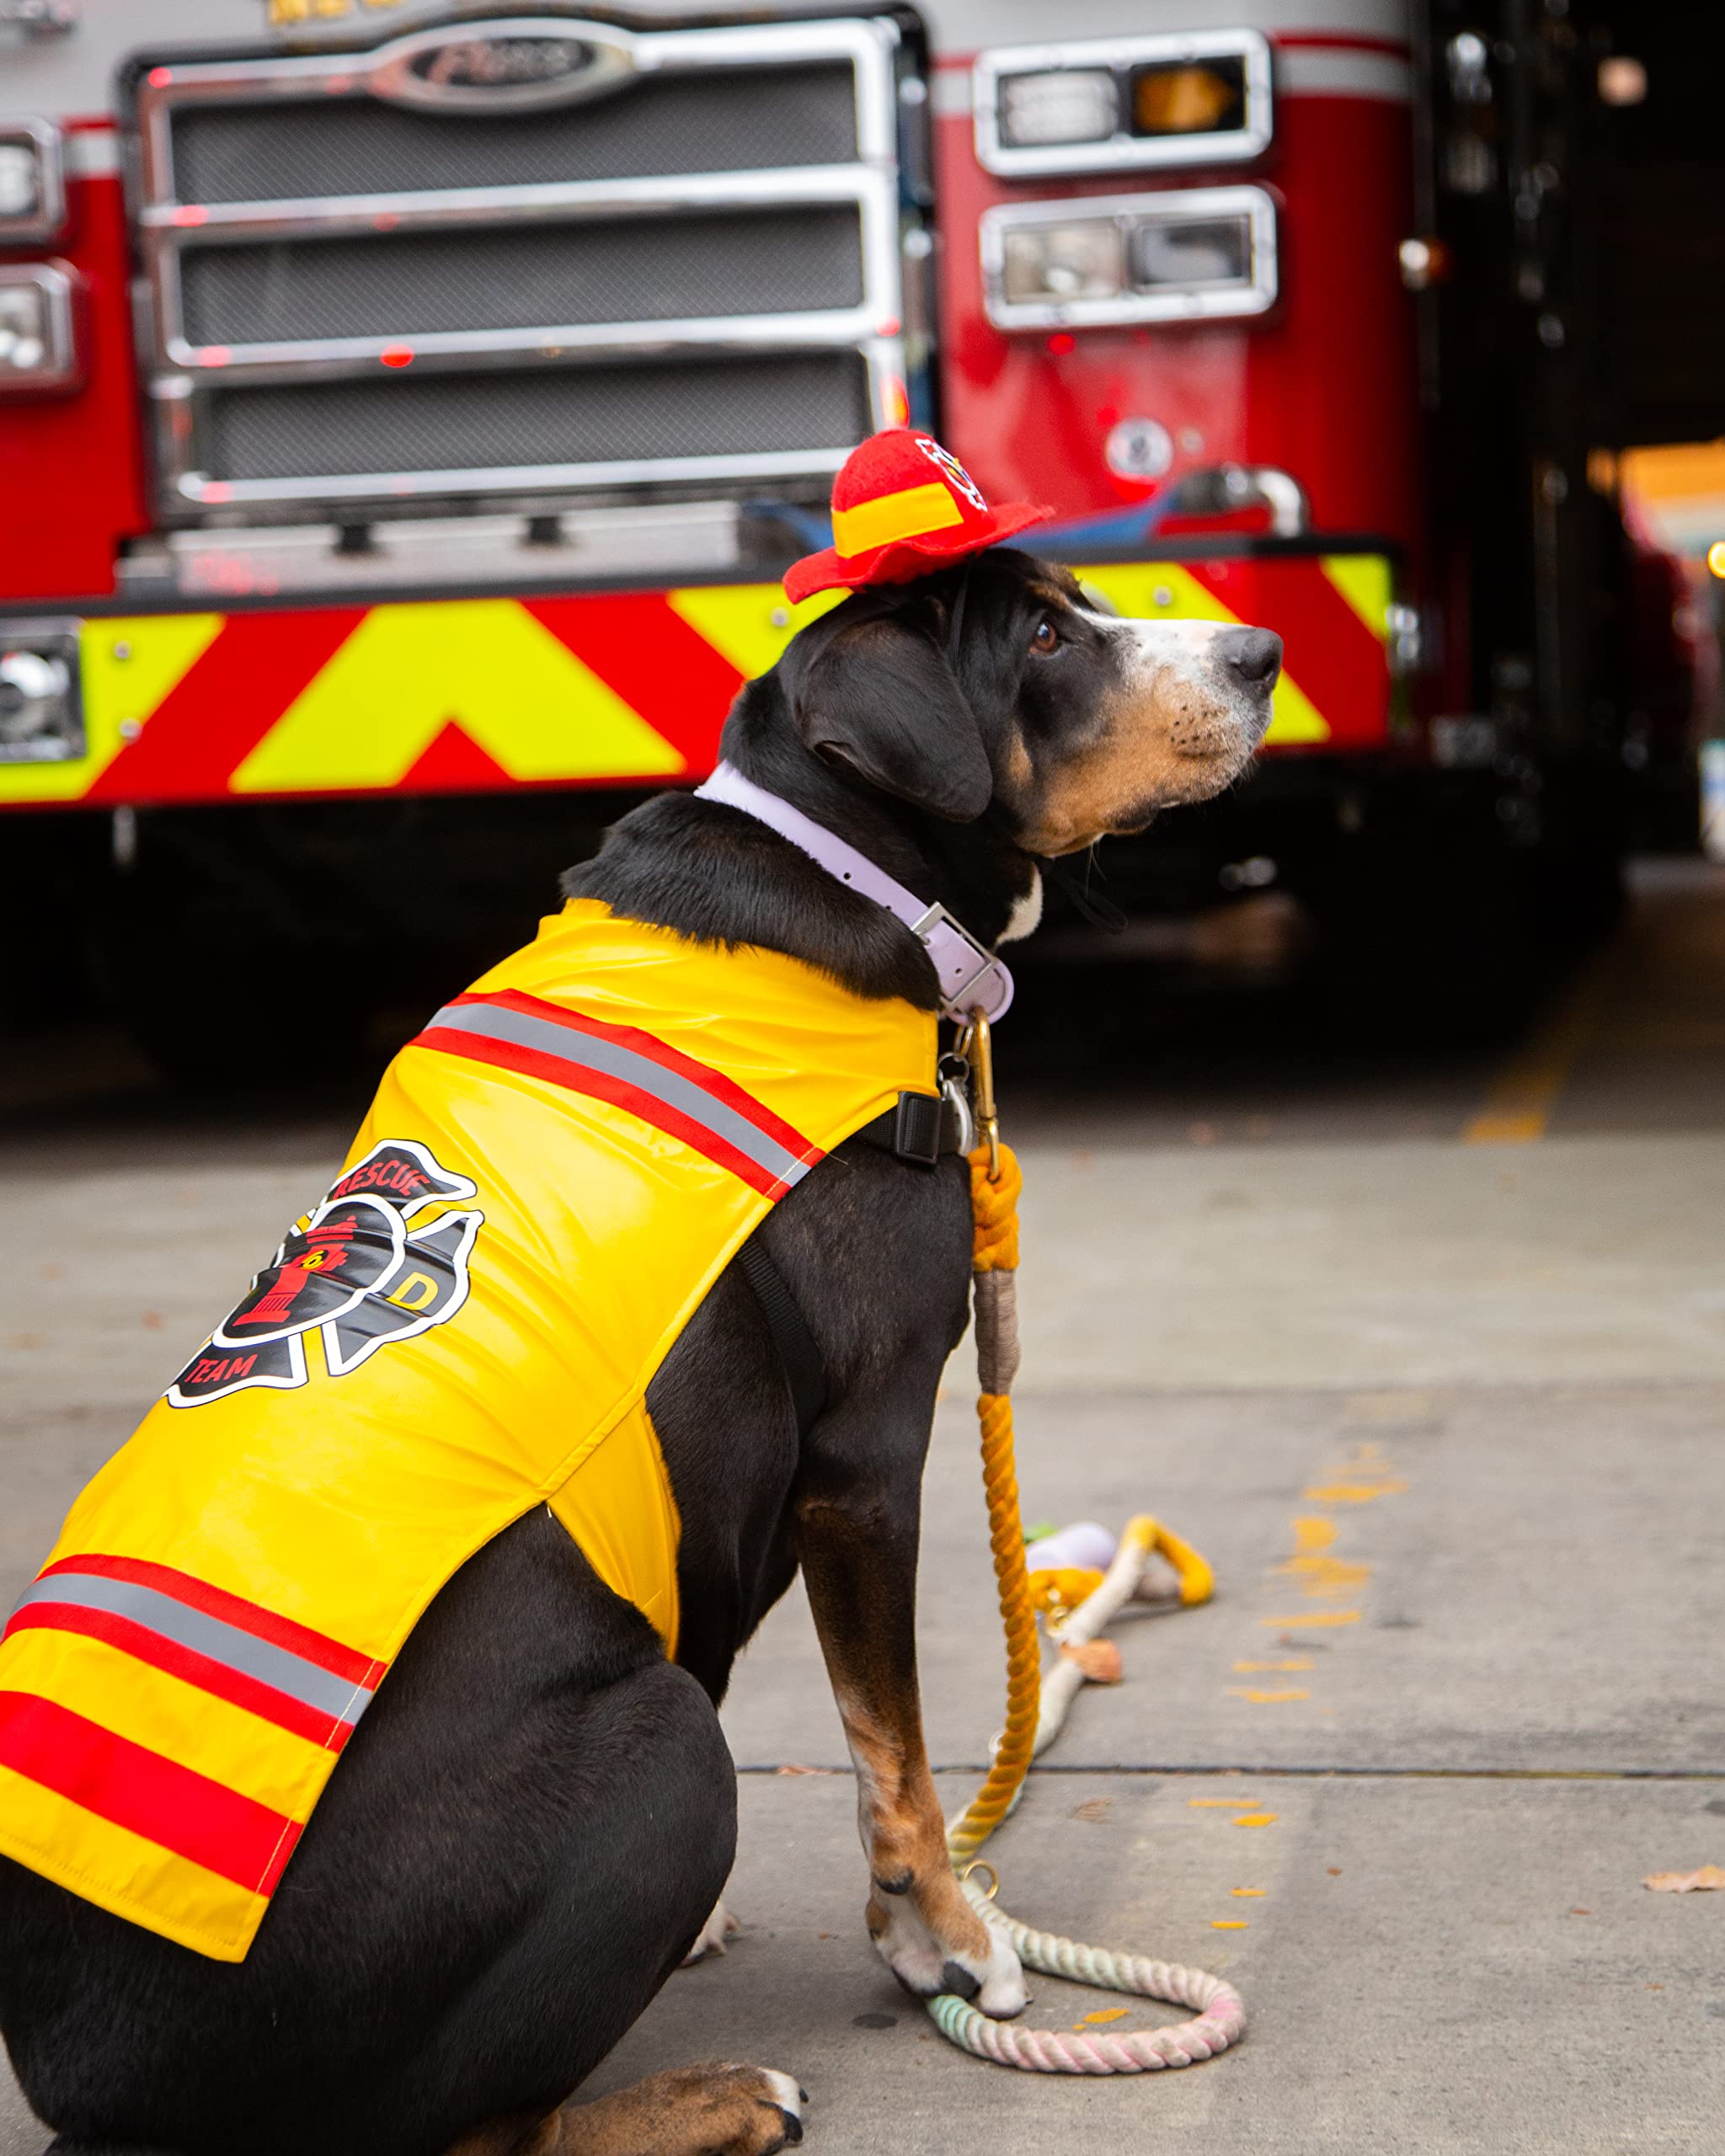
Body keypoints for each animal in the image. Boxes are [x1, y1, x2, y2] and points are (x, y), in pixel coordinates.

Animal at [0, 552, 1268, 2156]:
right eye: (1043, 636)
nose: (1262, 653)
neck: (843, 862)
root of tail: (84, 2075)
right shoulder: (866, 1457)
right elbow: (894, 1750)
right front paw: (944, 1937)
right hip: (662, 1751)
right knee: (486, 2131)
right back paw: (711, 2097)